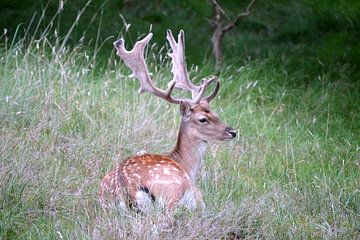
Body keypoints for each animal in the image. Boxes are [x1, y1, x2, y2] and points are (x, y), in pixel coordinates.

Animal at [98, 29, 238, 212]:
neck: (186, 166)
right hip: (173, 193)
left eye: (215, 112)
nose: (232, 131)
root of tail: (126, 188)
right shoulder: (198, 196)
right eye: (202, 119)